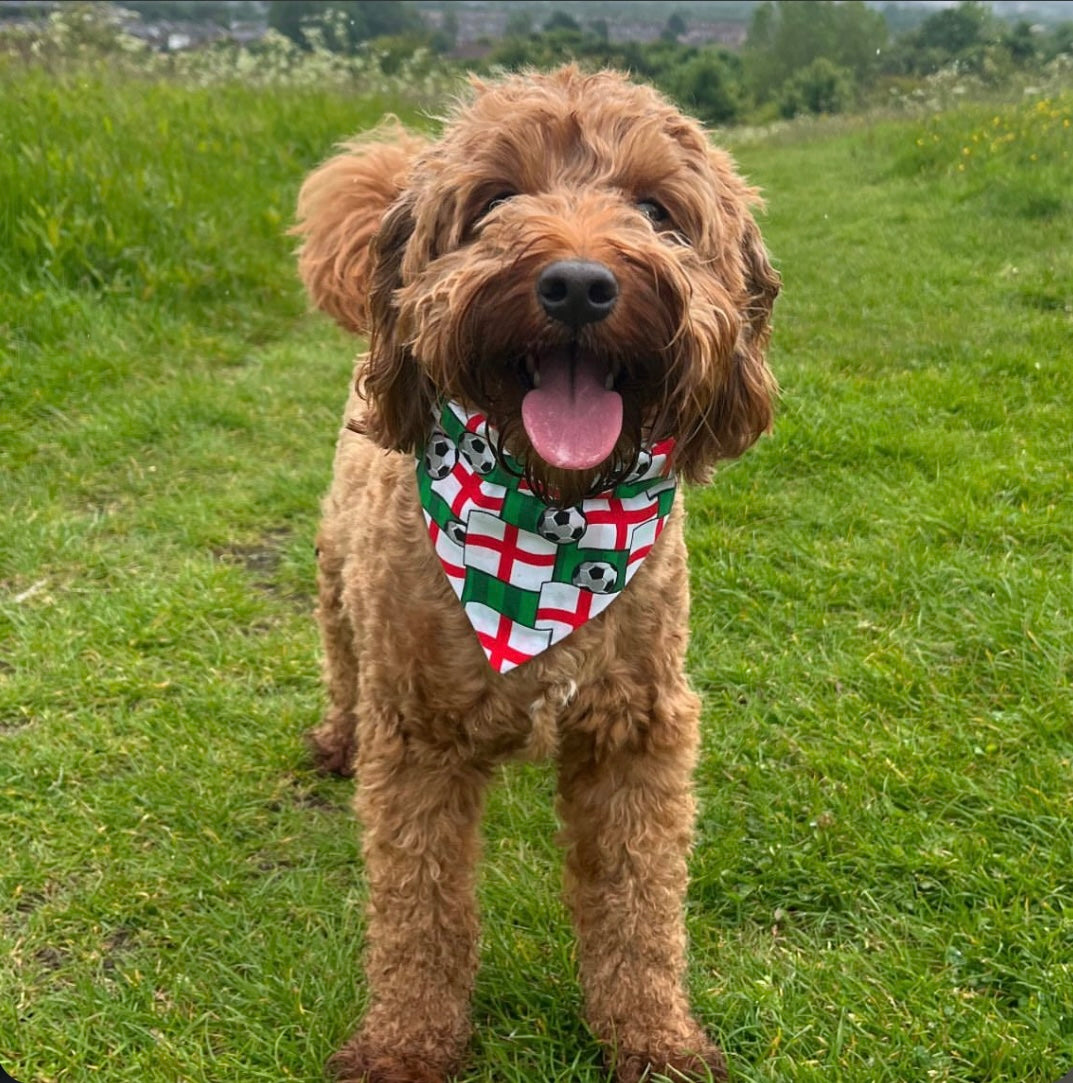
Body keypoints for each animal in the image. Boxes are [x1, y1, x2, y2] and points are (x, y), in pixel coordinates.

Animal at [294, 65, 779, 1083]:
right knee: (342, 659)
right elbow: (419, 911)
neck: (548, 526)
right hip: (338, 585)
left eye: (657, 209)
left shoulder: (637, 727)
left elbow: (640, 905)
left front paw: (653, 1035)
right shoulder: (419, 734)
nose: (579, 285)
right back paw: (335, 733)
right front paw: (404, 1043)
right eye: (493, 201)